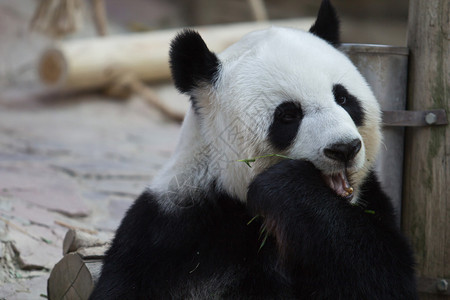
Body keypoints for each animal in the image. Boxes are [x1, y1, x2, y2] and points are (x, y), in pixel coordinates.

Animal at [89, 1, 416, 298]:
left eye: (344, 98)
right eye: (288, 115)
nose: (344, 148)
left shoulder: (370, 205)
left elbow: (379, 274)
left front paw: (287, 186)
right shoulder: (170, 230)